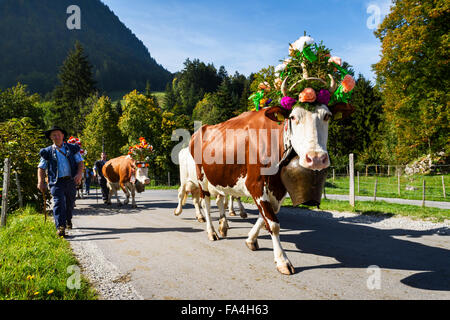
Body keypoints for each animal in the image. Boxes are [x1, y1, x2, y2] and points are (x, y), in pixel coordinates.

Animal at [188, 103, 354, 276]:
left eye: (327, 116)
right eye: (293, 117)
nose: (316, 158)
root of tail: (202, 129)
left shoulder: (278, 189)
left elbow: (266, 217)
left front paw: (251, 240)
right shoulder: (254, 184)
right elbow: (273, 223)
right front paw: (282, 261)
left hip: (219, 178)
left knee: (221, 199)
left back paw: (223, 226)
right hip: (201, 176)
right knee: (206, 203)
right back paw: (212, 231)